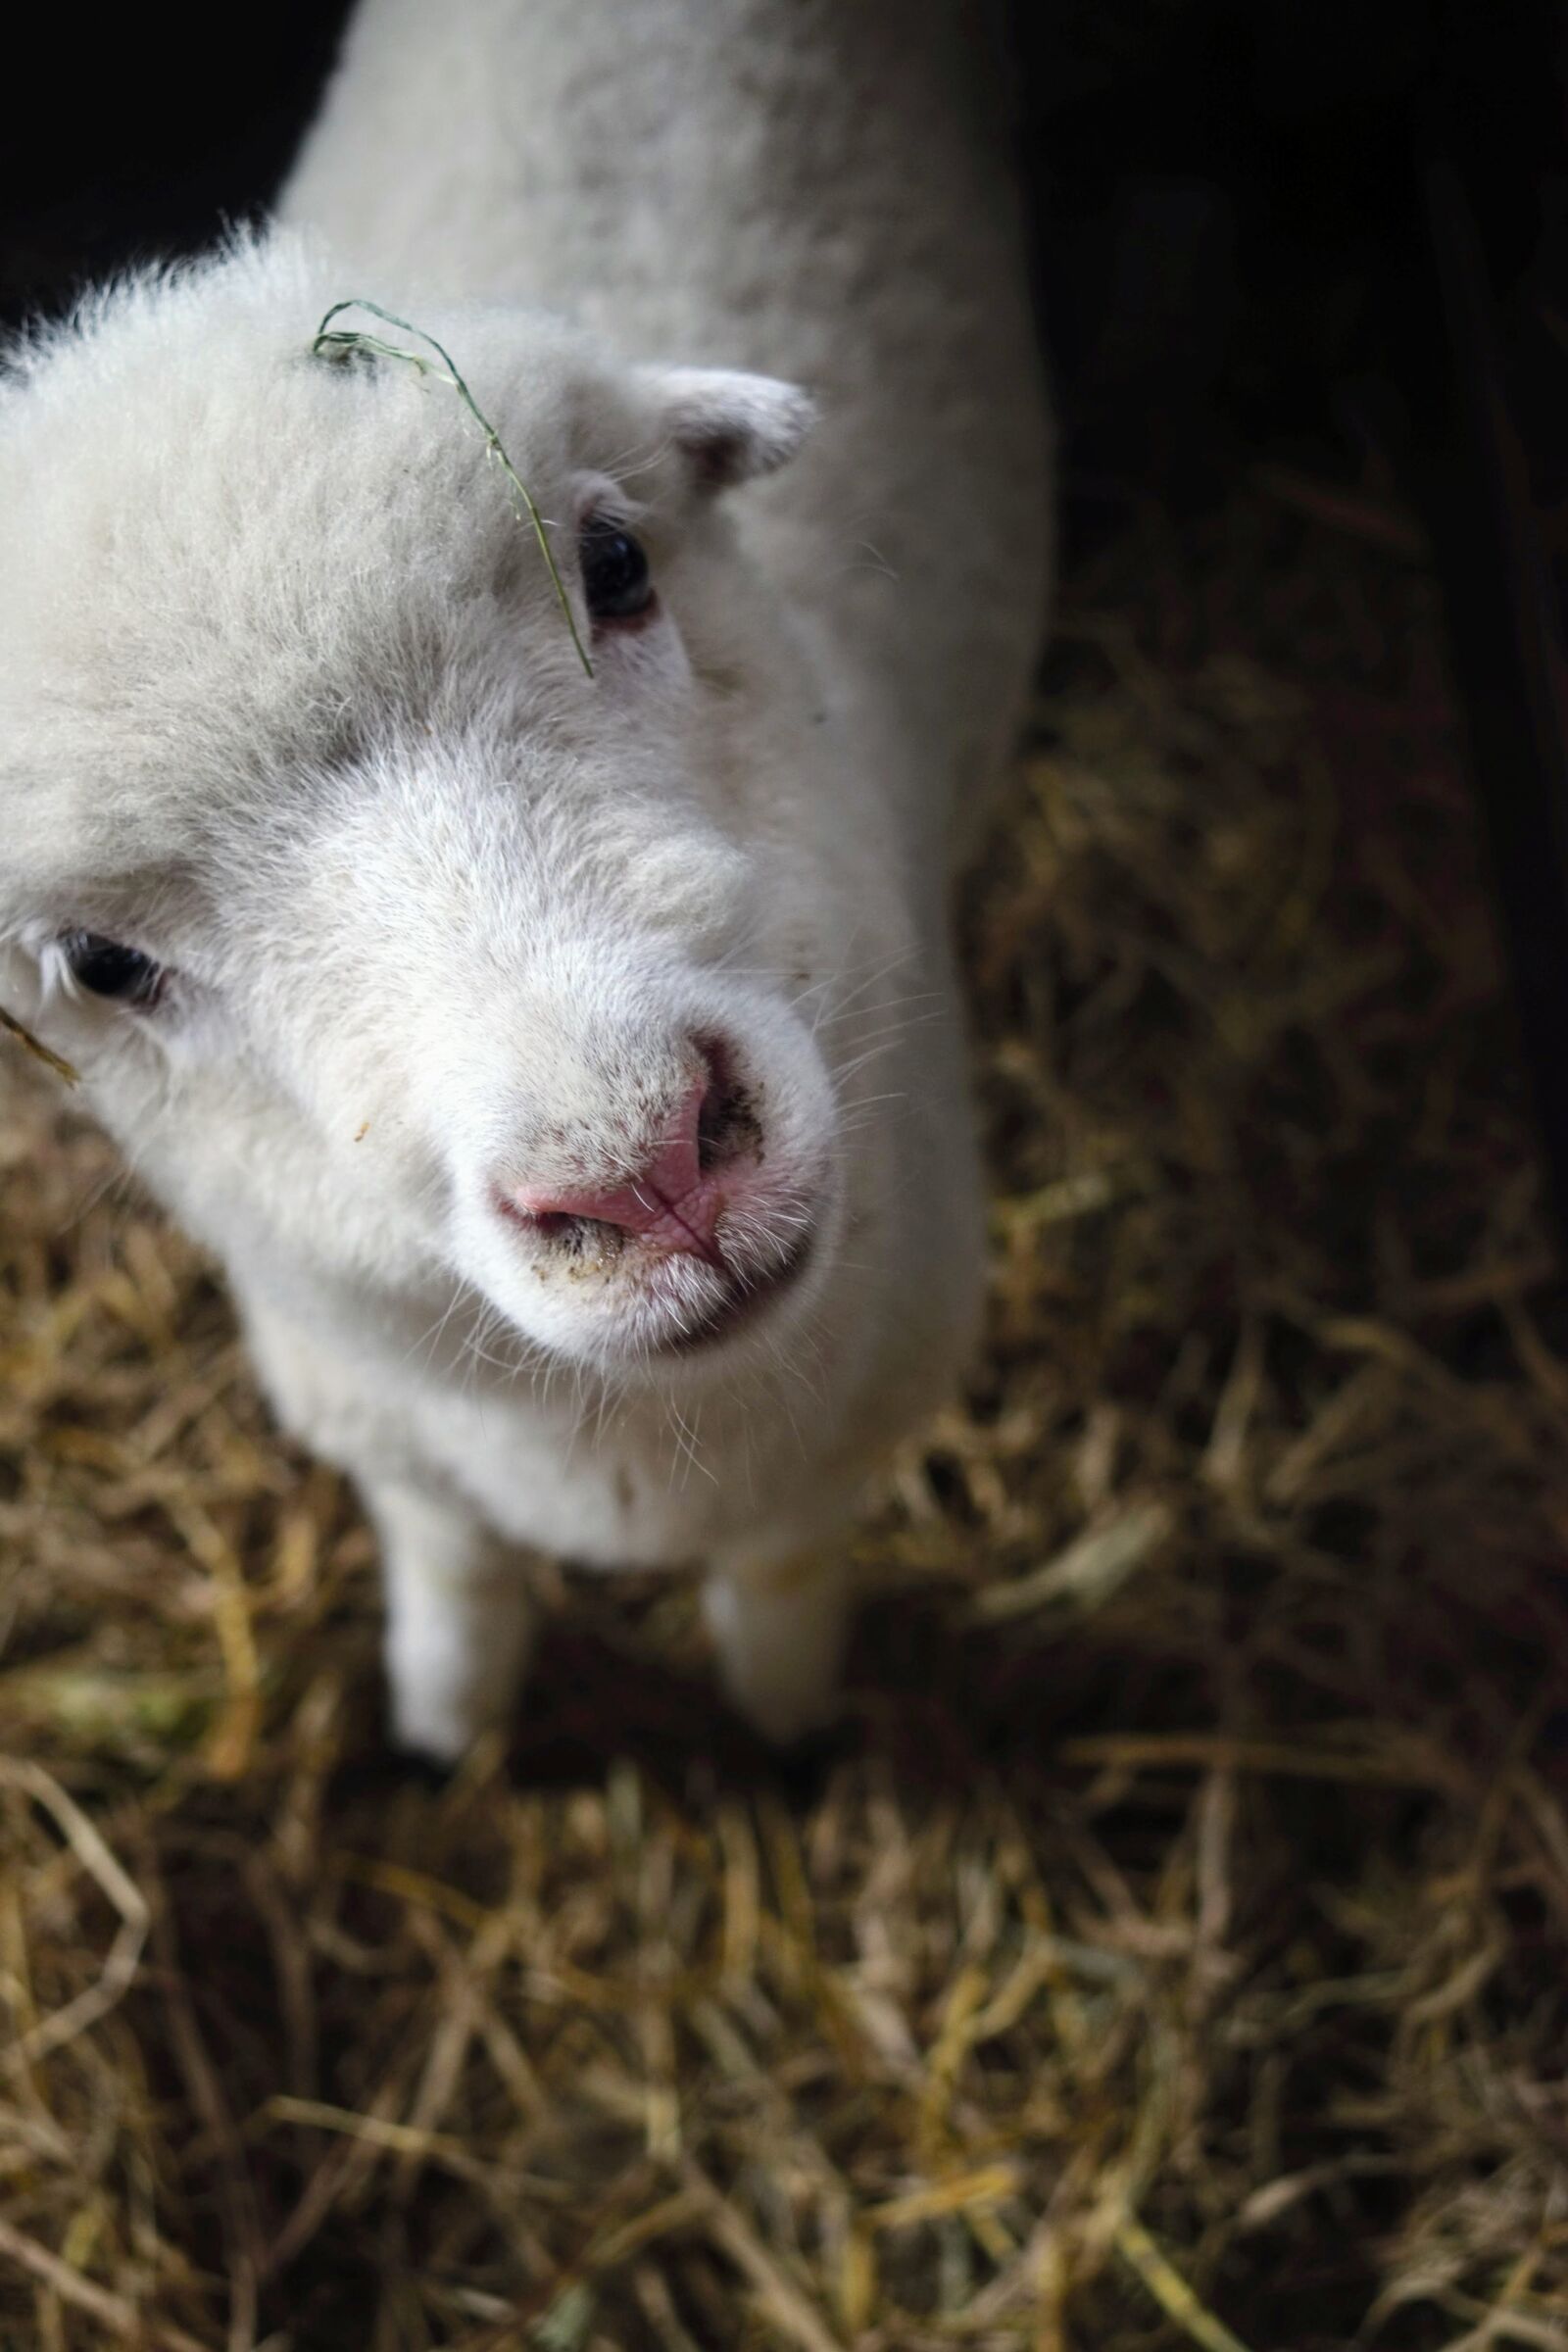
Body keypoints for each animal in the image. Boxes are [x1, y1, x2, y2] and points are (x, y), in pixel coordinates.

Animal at [0, 0, 1052, 1759]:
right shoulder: (385, 1424)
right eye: (100, 964)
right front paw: (445, 1723)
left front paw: (789, 1719)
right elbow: (455, 1562)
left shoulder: (844, 1421)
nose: (644, 1170)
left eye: (615, 565)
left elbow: (781, 1574)